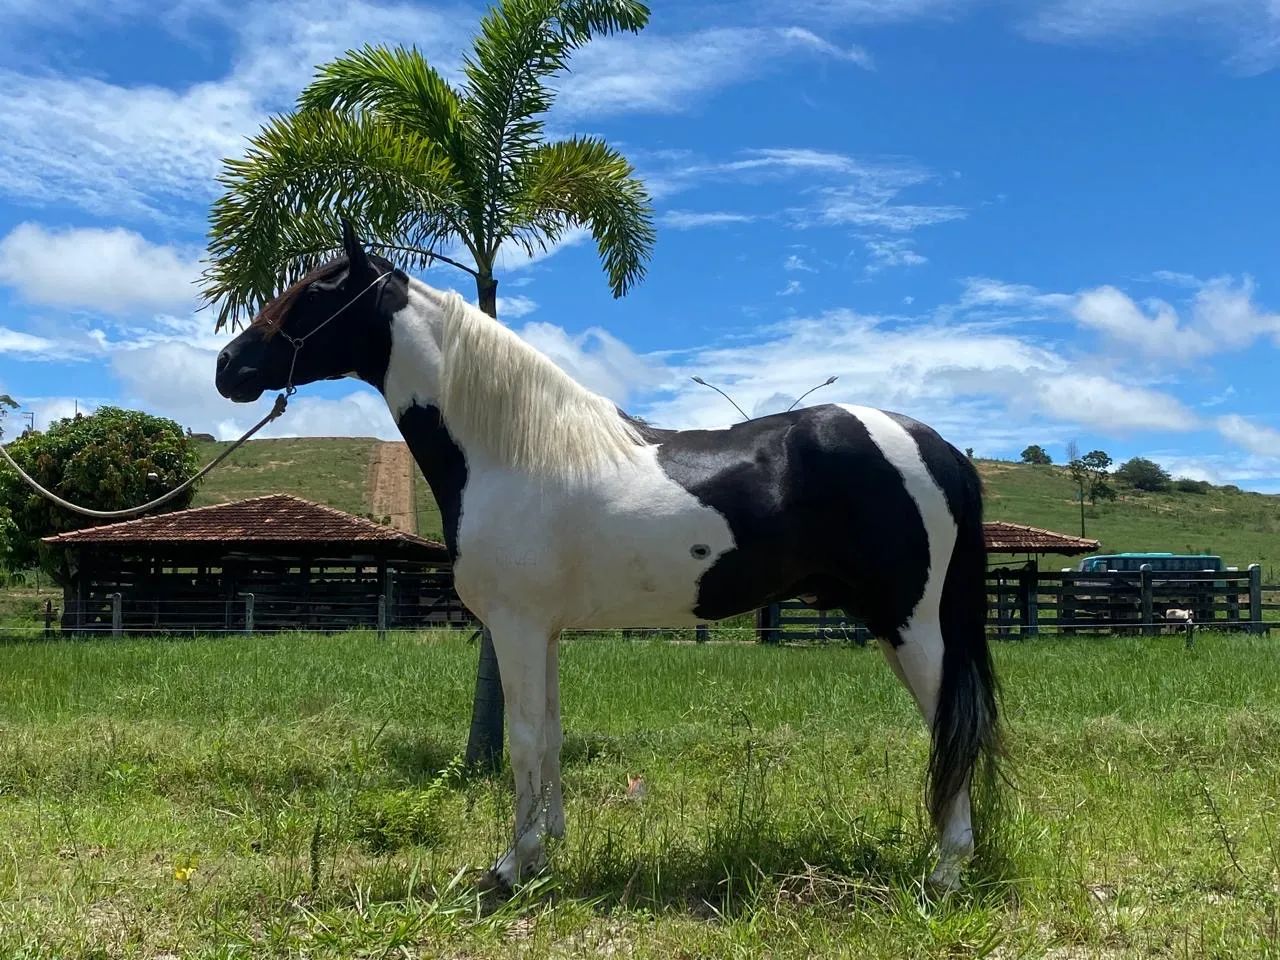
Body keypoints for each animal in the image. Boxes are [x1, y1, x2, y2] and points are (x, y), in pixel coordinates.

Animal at [215, 222, 1001, 891]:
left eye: (316, 289)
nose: (228, 366)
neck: (511, 451)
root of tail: (938, 449)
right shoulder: (543, 632)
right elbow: (550, 736)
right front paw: (545, 851)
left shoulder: (516, 627)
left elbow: (523, 740)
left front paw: (511, 868)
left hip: (914, 625)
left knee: (952, 730)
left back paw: (944, 872)